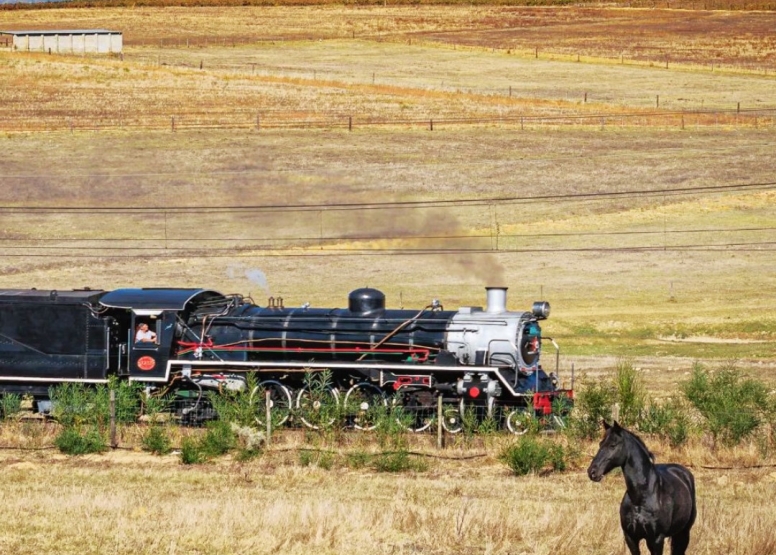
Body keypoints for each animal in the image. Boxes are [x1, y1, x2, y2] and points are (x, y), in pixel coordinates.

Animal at [588, 422, 696, 555]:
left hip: (684, 532)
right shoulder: (631, 538)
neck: (642, 496)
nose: (592, 472)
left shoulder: (657, 539)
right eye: (600, 444)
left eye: (612, 445)